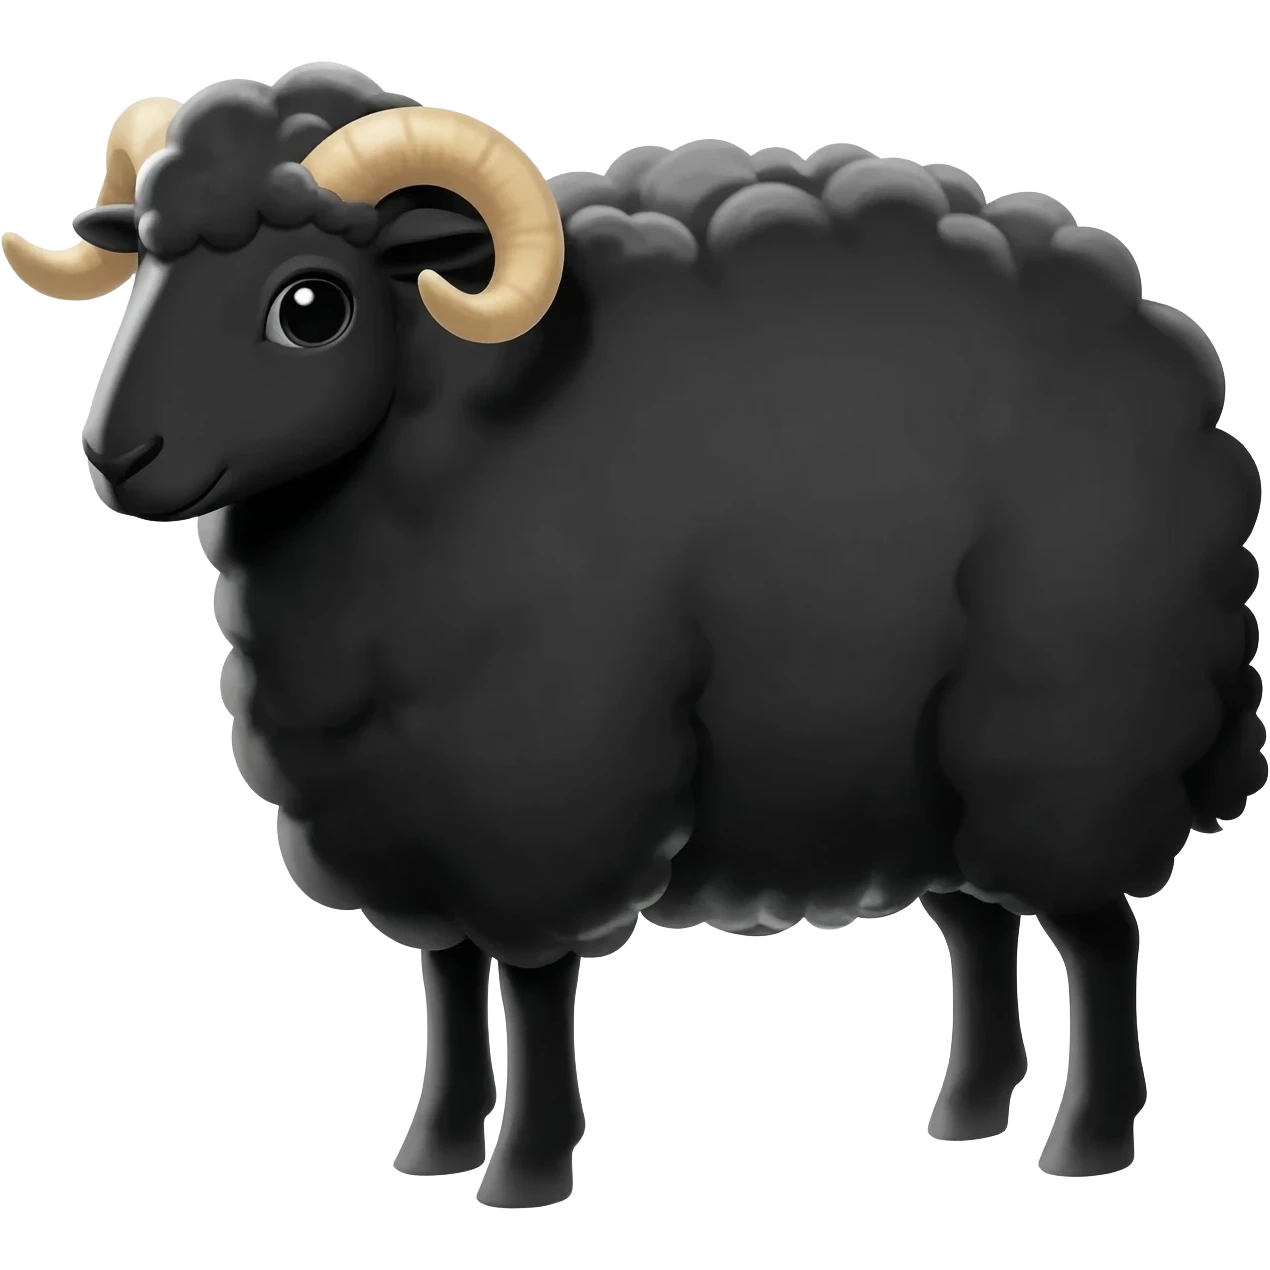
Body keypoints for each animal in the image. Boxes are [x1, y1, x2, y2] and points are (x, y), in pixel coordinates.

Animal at [4, 62, 1262, 1210]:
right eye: (145, 259)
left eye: (308, 304)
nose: (118, 454)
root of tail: (1170, 359)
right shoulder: (404, 799)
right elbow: (446, 978)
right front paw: (432, 1147)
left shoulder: (539, 785)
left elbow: (526, 983)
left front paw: (523, 1169)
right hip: (921, 767)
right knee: (980, 925)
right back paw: (967, 1111)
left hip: (1069, 732)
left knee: (1096, 936)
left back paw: (1085, 1141)